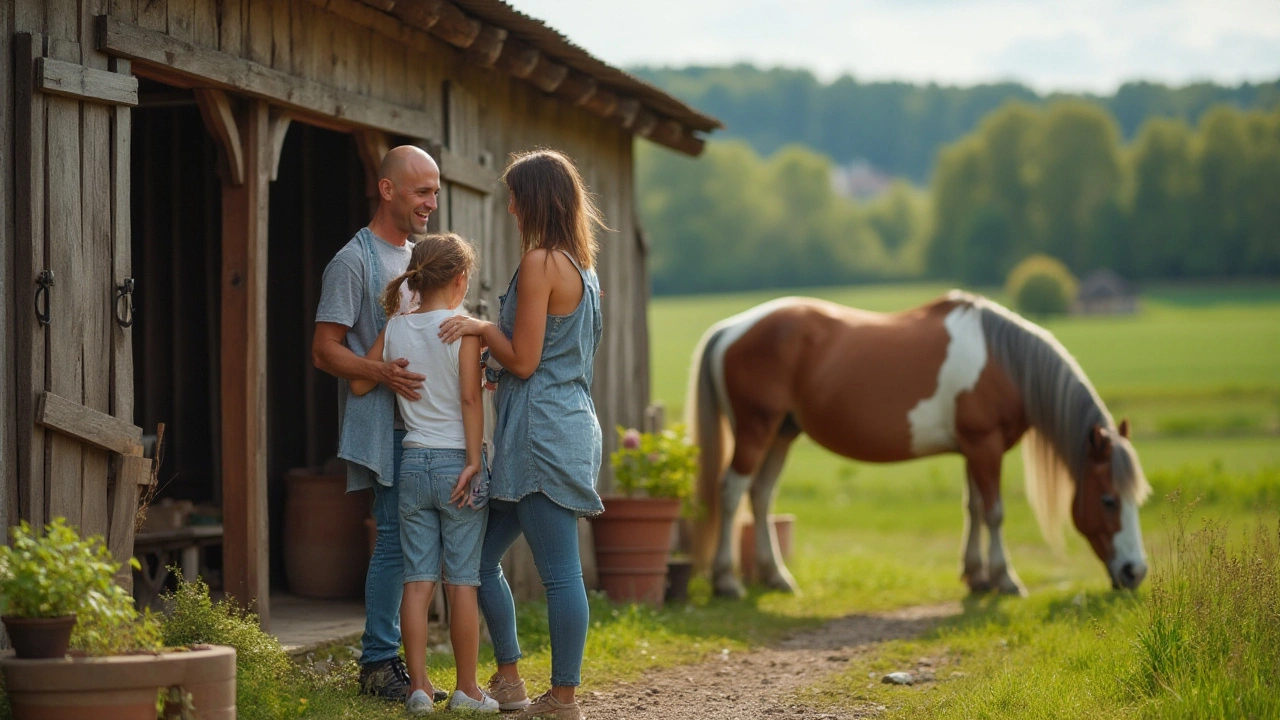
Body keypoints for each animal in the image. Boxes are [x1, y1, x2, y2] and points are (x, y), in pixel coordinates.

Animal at [691, 288, 1152, 597]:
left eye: (1137, 500)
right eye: (1109, 500)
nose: (1135, 573)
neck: (1005, 362)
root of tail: (730, 329)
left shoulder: (972, 449)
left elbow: (974, 508)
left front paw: (976, 576)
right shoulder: (985, 446)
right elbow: (995, 512)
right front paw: (1005, 579)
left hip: (781, 434)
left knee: (761, 495)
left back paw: (776, 577)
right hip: (755, 430)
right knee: (731, 492)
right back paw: (727, 581)